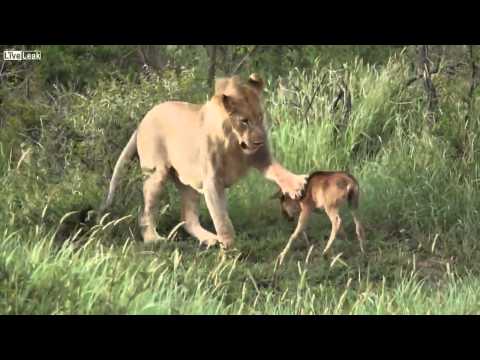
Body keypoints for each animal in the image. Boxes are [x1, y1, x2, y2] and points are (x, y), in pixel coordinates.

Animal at [102, 72, 306, 248]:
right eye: (244, 121)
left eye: (260, 116)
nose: (260, 140)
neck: (234, 143)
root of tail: (143, 120)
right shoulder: (212, 180)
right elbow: (221, 217)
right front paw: (230, 245)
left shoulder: (261, 157)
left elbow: (279, 171)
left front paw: (296, 184)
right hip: (156, 174)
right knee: (146, 213)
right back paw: (153, 239)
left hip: (189, 182)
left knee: (187, 218)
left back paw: (209, 239)